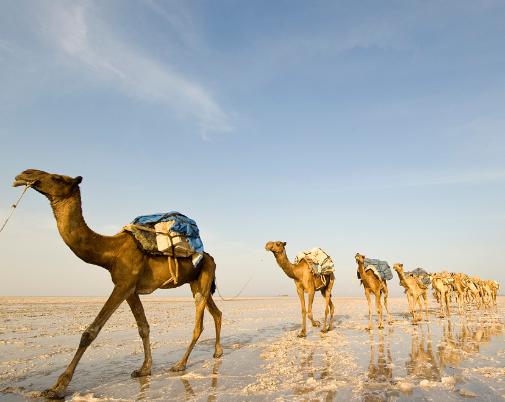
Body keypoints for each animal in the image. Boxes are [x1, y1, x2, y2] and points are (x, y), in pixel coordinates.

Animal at [12, 170, 221, 398]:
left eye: (58, 178)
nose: (24, 174)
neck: (111, 251)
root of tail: (210, 257)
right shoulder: (130, 289)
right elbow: (143, 327)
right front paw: (144, 369)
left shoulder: (123, 285)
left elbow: (90, 332)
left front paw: (57, 387)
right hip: (196, 282)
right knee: (216, 312)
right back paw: (217, 352)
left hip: (204, 276)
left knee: (199, 324)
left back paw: (180, 364)